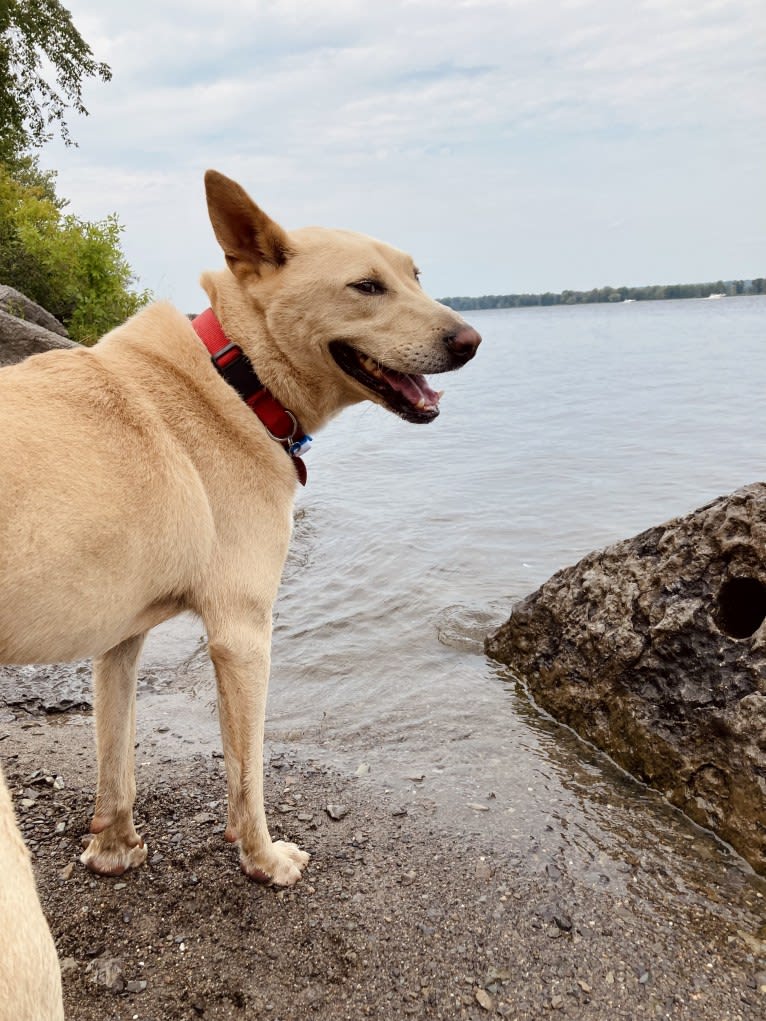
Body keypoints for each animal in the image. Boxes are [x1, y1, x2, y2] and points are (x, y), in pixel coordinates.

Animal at [0, 173, 480, 886]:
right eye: (366, 287)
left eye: (415, 275)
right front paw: (264, 859)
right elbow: (247, 772)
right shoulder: (244, 633)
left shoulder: (119, 639)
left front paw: (114, 848)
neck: (238, 376)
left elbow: (115, 753)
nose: (471, 341)